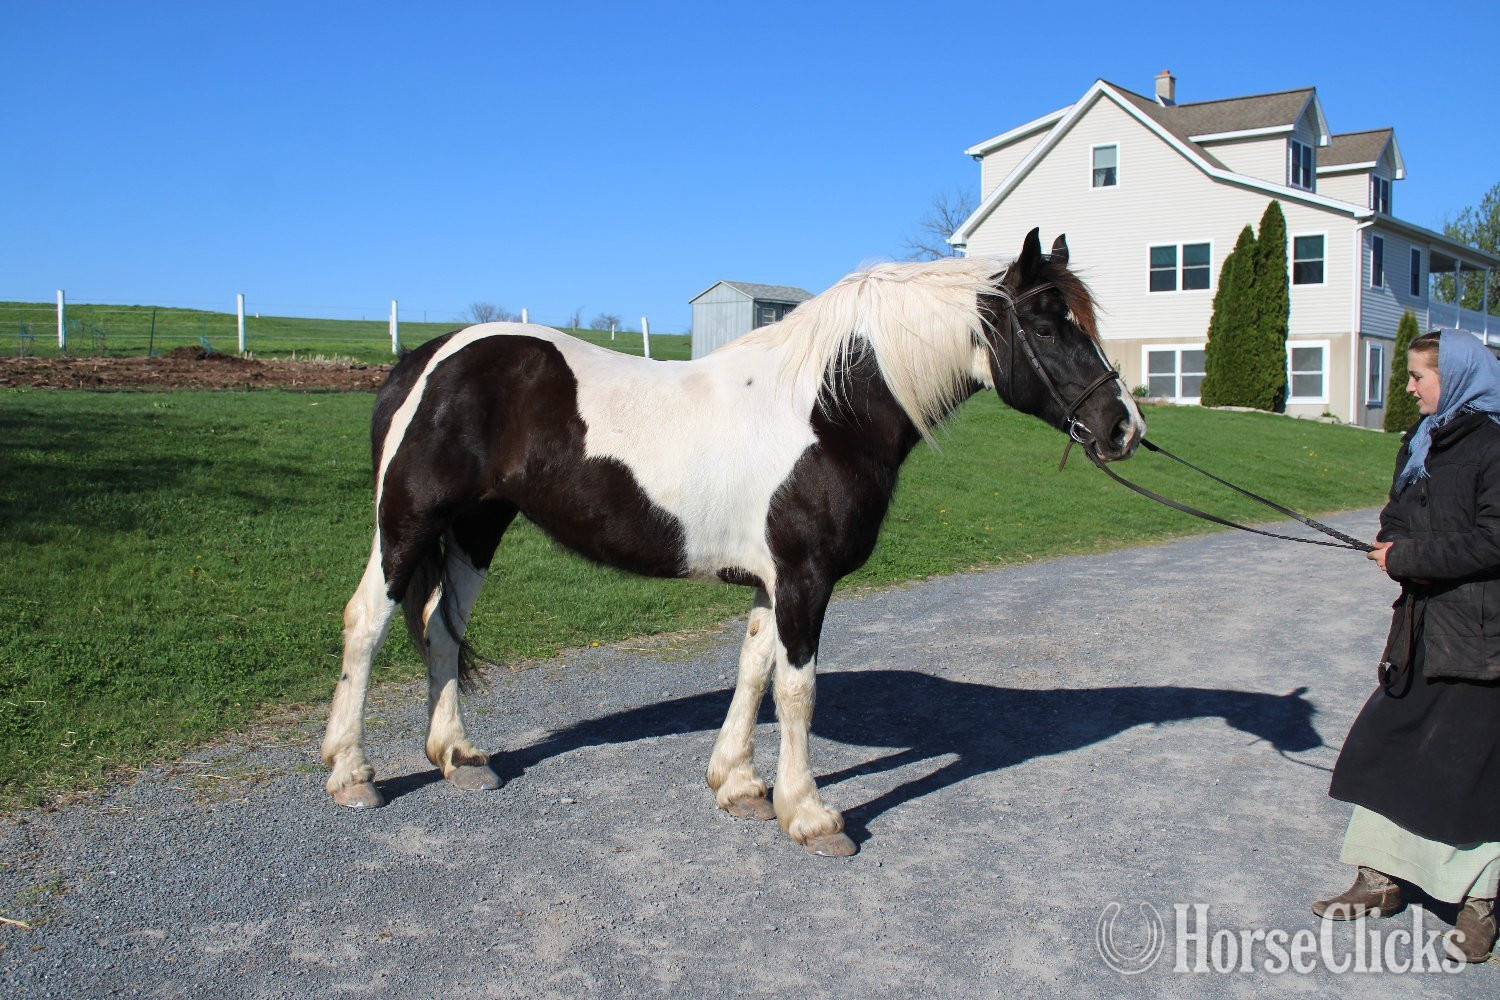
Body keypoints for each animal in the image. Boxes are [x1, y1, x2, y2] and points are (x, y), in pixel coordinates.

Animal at [321, 228, 1146, 856]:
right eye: (1047, 324)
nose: (1123, 426)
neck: (828, 410)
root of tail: (423, 360)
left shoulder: (772, 580)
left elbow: (753, 672)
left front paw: (741, 786)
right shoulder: (806, 578)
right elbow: (797, 689)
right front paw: (808, 815)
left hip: (477, 528)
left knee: (441, 630)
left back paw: (458, 757)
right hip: (409, 523)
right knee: (367, 622)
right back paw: (352, 775)